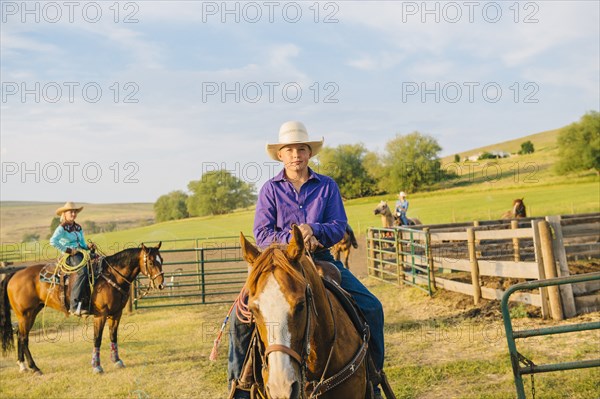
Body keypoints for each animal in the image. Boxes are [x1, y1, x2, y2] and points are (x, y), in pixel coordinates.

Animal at [0, 242, 164, 376]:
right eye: (150, 262)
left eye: (161, 260)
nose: (161, 284)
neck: (111, 277)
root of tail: (15, 274)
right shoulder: (100, 315)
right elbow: (97, 339)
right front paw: (97, 367)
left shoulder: (116, 314)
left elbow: (113, 336)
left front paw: (117, 361)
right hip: (25, 314)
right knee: (23, 337)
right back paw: (34, 367)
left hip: (31, 313)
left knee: (20, 336)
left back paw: (23, 366)